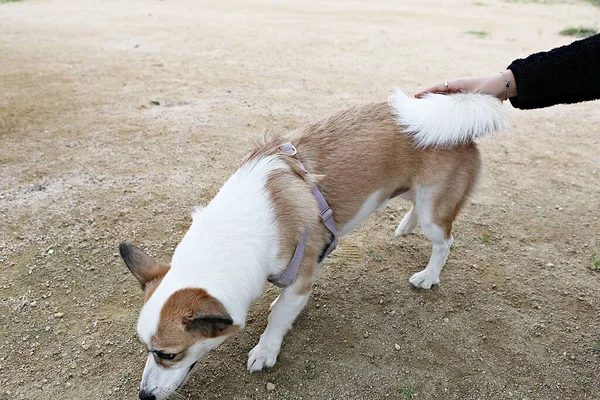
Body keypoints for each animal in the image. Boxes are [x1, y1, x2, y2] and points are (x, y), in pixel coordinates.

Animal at [119, 91, 508, 400]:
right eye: (146, 349)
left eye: (168, 355)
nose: (144, 395)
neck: (241, 228)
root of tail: (455, 119)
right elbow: (283, 303)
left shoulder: (302, 272)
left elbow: (278, 317)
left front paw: (266, 349)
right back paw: (404, 225)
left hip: (433, 212)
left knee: (444, 241)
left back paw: (428, 276)